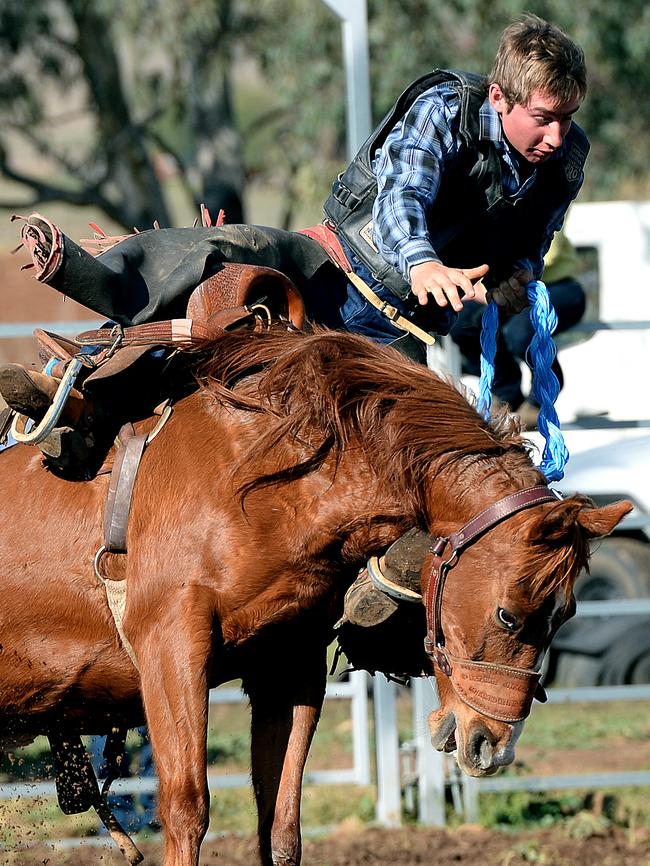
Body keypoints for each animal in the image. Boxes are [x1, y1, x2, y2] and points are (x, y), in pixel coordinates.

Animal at [0, 328, 628, 860]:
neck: (263, 479)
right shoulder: (170, 648)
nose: (494, 746)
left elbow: (280, 826)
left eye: (567, 614)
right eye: (508, 615)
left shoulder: (289, 665)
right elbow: (186, 811)